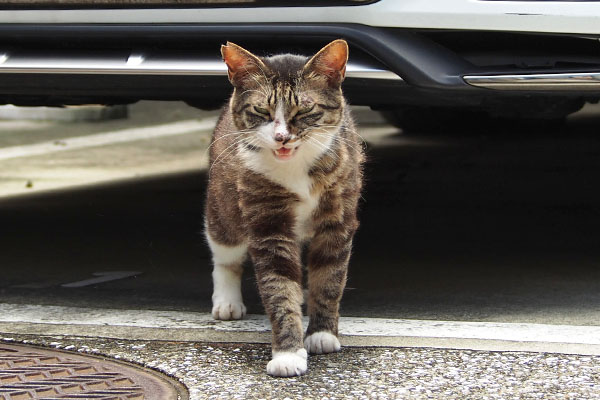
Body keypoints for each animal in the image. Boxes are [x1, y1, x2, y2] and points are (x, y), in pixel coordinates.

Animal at [205, 39, 366, 376]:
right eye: (261, 110)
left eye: (305, 109)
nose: (281, 137)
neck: (296, 167)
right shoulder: (269, 225)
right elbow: (279, 287)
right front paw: (288, 354)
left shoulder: (337, 222)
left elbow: (329, 279)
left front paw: (322, 334)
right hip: (223, 205)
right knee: (225, 253)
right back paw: (227, 301)